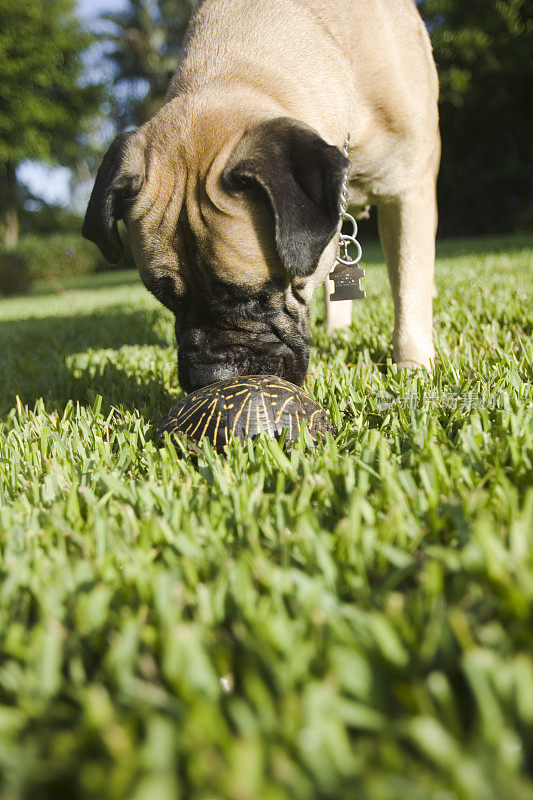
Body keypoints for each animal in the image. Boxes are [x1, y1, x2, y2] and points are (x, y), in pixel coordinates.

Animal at [84, 0, 440, 394]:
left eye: (254, 297)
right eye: (165, 297)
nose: (210, 378)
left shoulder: (409, 188)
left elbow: (409, 286)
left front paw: (413, 368)